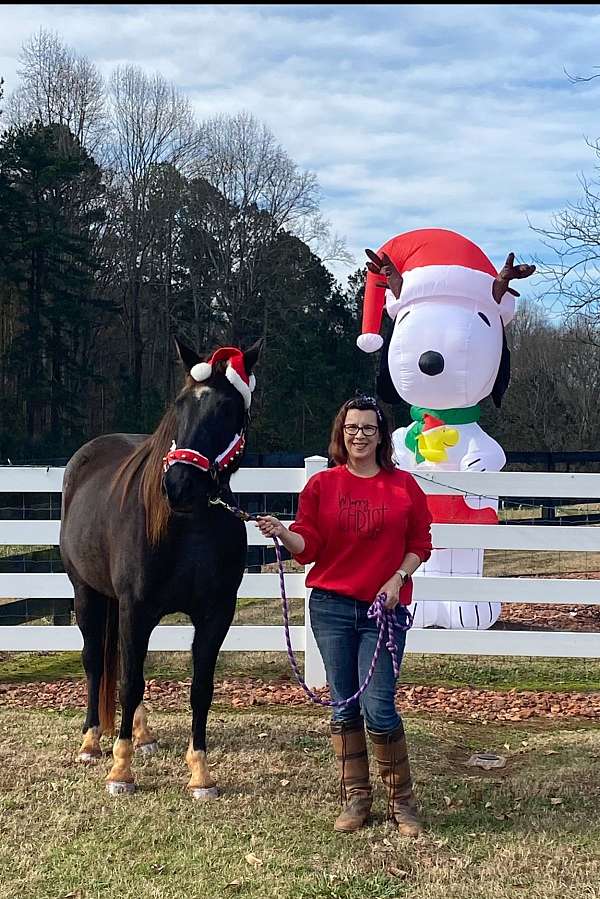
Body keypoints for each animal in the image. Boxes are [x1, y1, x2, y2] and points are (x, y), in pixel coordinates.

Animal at [60, 342, 262, 800]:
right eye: (179, 404)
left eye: (228, 409)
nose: (179, 485)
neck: (187, 527)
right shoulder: (136, 608)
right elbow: (128, 683)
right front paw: (120, 771)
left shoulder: (215, 615)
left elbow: (200, 688)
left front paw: (201, 774)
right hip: (87, 594)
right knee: (96, 662)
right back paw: (91, 742)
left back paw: (142, 734)